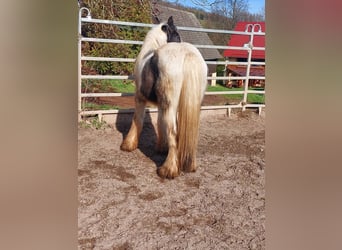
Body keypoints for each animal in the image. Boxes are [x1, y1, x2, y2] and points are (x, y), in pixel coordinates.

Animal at [120, 16, 207, 179]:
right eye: (177, 34)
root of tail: (187, 53)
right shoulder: (161, 105)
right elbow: (160, 123)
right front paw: (161, 148)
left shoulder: (140, 99)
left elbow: (137, 120)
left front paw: (128, 145)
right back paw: (189, 165)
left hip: (168, 105)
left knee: (173, 132)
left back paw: (168, 170)